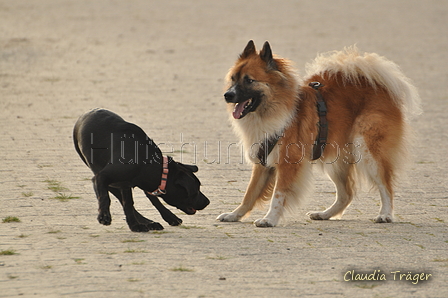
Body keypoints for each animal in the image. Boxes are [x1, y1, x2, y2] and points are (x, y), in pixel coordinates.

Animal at [73, 109, 210, 233]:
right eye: (195, 191)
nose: (207, 202)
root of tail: (85, 115)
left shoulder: (127, 184)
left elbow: (131, 203)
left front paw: (135, 225)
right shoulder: (103, 177)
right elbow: (107, 198)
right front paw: (105, 216)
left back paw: (160, 220)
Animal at [217, 40, 420, 227]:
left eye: (249, 80)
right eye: (233, 79)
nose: (227, 95)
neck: (275, 107)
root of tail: (377, 84)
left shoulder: (288, 162)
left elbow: (278, 194)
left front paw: (270, 219)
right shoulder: (263, 161)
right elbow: (249, 193)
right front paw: (234, 215)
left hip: (368, 150)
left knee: (386, 186)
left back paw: (385, 214)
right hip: (336, 159)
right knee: (346, 194)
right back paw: (325, 214)